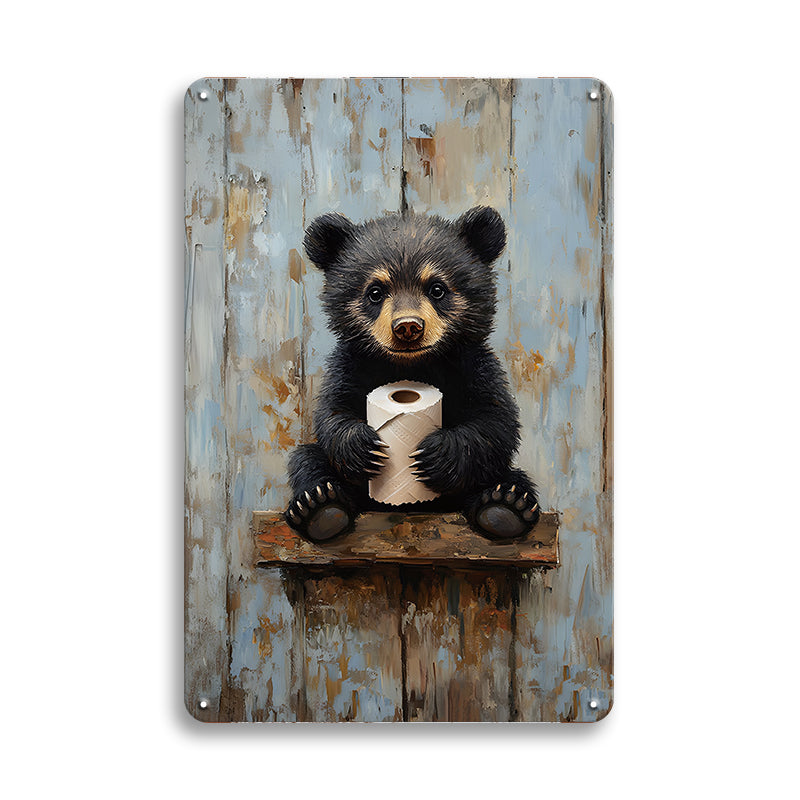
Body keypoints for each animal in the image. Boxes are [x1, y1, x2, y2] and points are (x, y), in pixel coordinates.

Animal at [284, 206, 540, 542]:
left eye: (437, 288)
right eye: (375, 291)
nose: (408, 327)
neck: (411, 364)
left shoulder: (473, 366)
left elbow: (495, 421)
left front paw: (436, 454)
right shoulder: (351, 365)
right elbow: (332, 413)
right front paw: (363, 447)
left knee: (507, 476)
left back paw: (505, 506)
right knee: (308, 460)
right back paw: (320, 507)